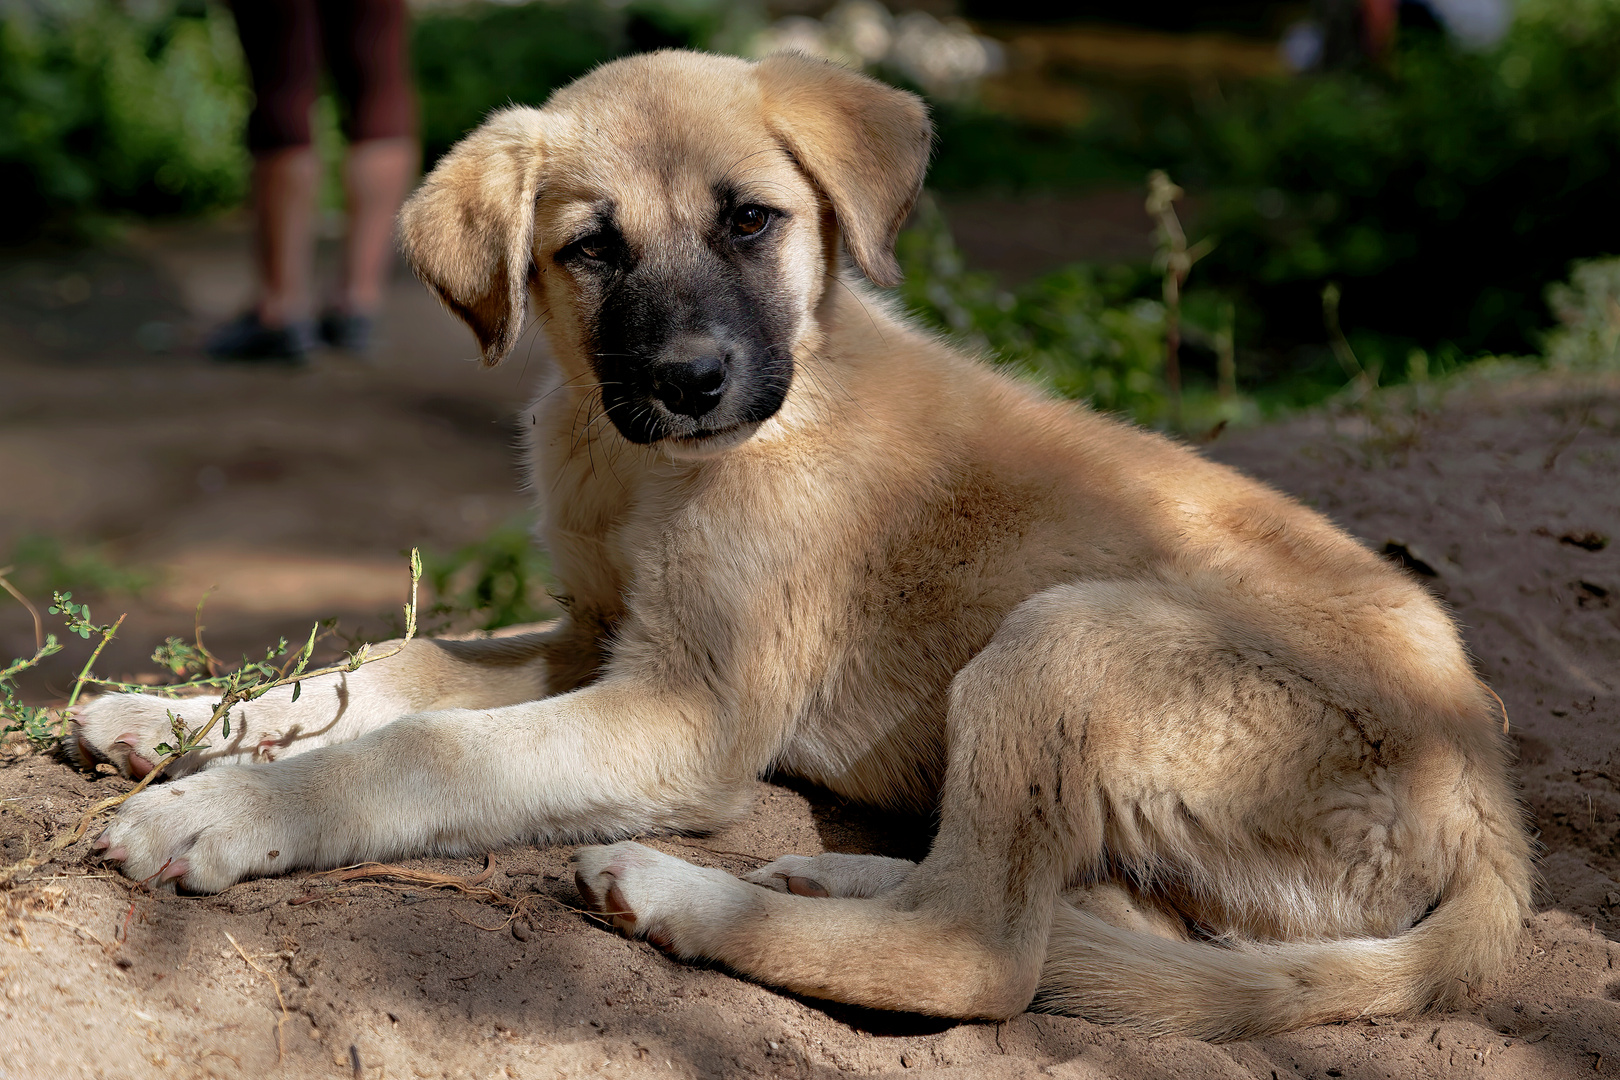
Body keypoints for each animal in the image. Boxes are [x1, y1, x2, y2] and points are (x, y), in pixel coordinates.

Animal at [72, 48, 1529, 1036]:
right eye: (589, 249)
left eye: (752, 221)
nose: (690, 382)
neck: (651, 466)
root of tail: (1490, 807)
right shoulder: (595, 636)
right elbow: (396, 670)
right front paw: (176, 718)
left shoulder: (684, 711)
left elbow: (427, 746)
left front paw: (219, 811)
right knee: (1067, 918)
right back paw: (836, 874)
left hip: (1068, 636)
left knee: (986, 956)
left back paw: (690, 898)